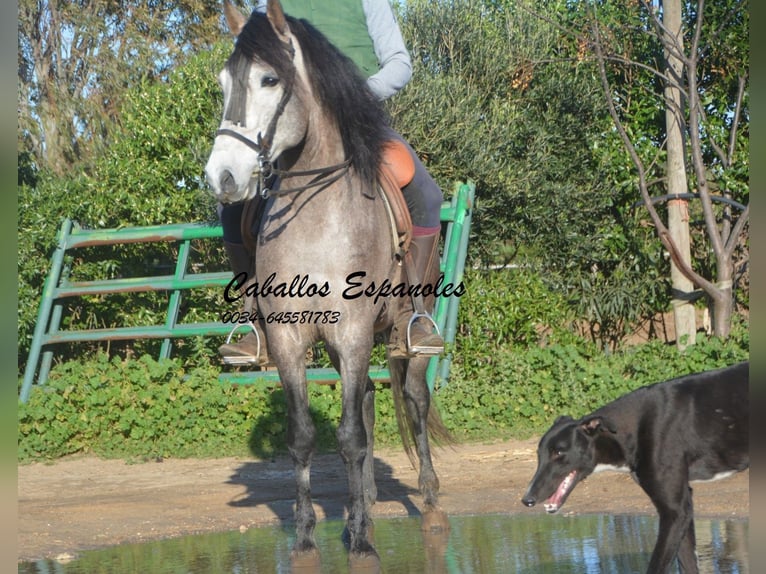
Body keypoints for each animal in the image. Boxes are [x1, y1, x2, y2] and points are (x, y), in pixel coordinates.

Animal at [206, 0, 456, 568]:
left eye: (270, 79)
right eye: (224, 82)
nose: (222, 178)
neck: (316, 218)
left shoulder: (354, 331)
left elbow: (350, 437)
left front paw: (362, 544)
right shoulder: (290, 338)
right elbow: (304, 437)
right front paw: (306, 540)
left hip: (408, 331)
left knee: (412, 400)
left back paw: (429, 506)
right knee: (365, 400)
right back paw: (364, 504)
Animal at [520, 362, 752, 572]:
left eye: (558, 452)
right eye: (539, 454)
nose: (527, 499)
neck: (630, 428)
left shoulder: (675, 511)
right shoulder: (684, 507)